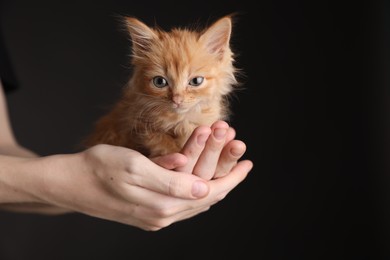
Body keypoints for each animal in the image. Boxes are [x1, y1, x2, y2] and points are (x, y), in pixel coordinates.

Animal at [84, 15, 239, 157]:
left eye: (196, 81)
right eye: (160, 82)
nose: (177, 99)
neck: (181, 121)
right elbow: (157, 140)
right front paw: (171, 149)